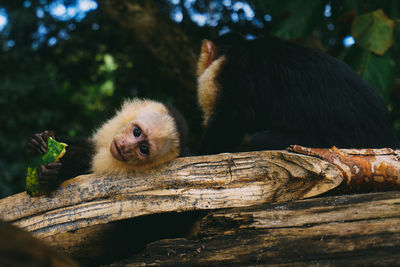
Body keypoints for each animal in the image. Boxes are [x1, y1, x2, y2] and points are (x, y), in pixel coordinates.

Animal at [27, 99, 188, 192]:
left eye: (144, 149)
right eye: (137, 132)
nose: (124, 146)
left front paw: (53, 176)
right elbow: (89, 150)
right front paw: (39, 142)